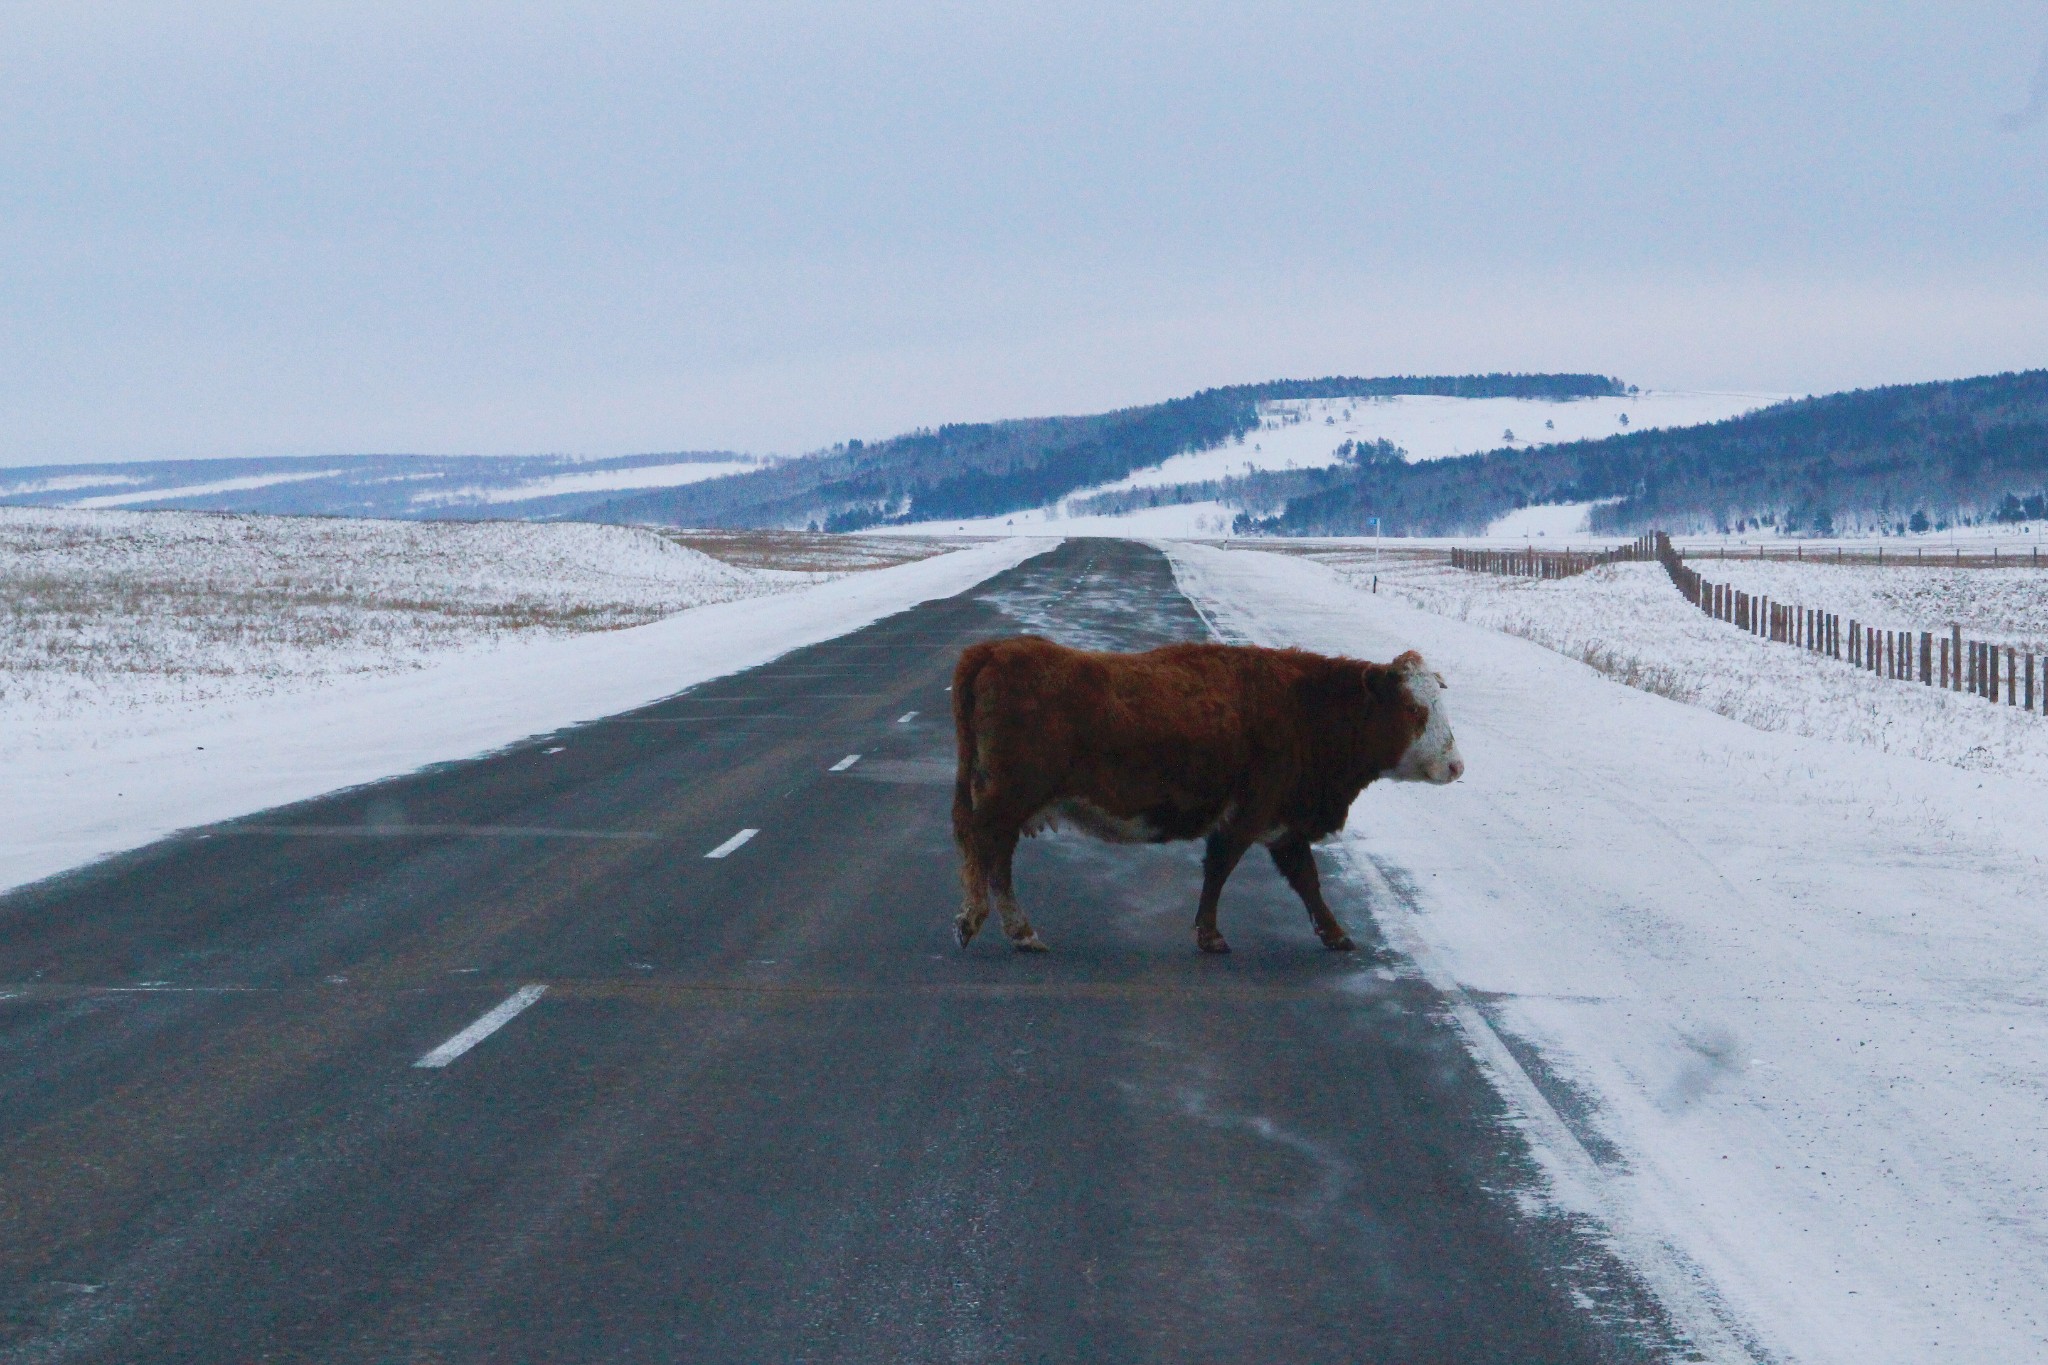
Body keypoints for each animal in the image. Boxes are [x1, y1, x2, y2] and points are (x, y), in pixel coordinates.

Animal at [950, 638, 1466, 949]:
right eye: (1413, 708)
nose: (1456, 765)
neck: (1303, 705)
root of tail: (992, 651)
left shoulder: (1282, 827)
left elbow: (1307, 880)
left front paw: (1336, 934)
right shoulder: (1247, 817)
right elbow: (1222, 869)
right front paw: (1211, 935)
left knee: (975, 845)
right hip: (1008, 802)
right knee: (992, 854)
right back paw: (1016, 930)